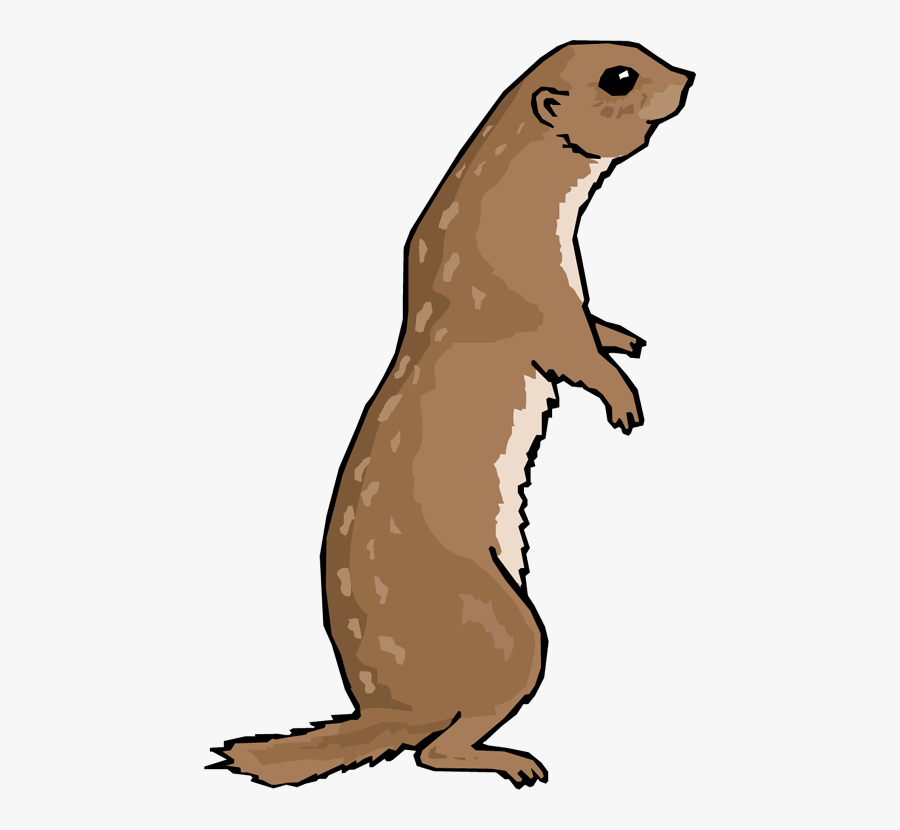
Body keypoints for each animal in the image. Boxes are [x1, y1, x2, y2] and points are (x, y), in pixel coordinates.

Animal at [210, 41, 693, 788]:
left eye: (642, 51)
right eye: (621, 77)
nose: (690, 76)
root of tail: (385, 703)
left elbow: (593, 330)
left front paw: (626, 337)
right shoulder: (533, 296)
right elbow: (573, 353)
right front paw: (625, 402)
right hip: (509, 627)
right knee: (434, 749)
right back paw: (514, 761)